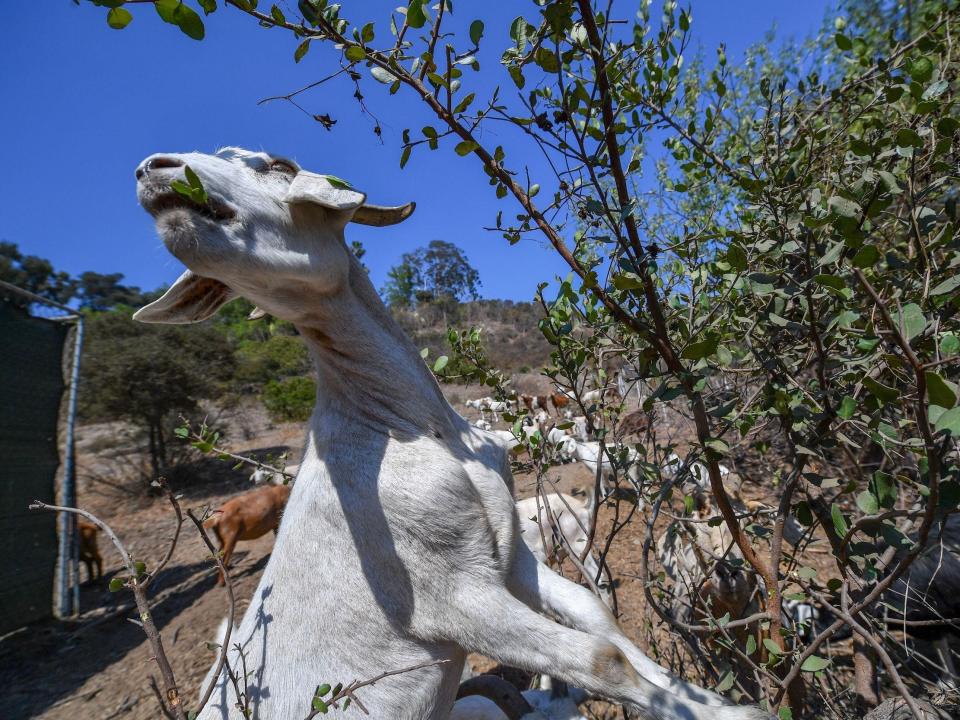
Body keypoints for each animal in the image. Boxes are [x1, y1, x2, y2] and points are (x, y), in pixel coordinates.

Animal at [133, 146, 764, 720]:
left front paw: (713, 704)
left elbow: (596, 616)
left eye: (276, 167)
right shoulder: (452, 596)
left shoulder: (505, 554)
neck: (416, 428)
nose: (150, 170)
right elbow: (600, 659)